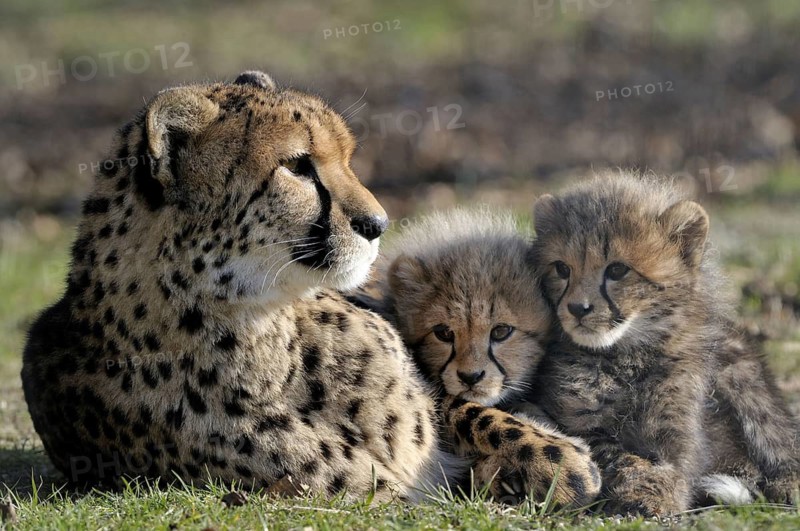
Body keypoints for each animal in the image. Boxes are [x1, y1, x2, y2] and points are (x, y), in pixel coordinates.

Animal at [527, 171, 800, 515]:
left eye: (617, 270)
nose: (578, 308)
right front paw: (649, 489)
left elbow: (677, 463)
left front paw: (659, 492)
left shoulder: (678, 431)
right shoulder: (578, 426)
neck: (627, 356)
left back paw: (787, 485)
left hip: (743, 378)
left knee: (781, 441)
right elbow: (619, 454)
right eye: (562, 269)